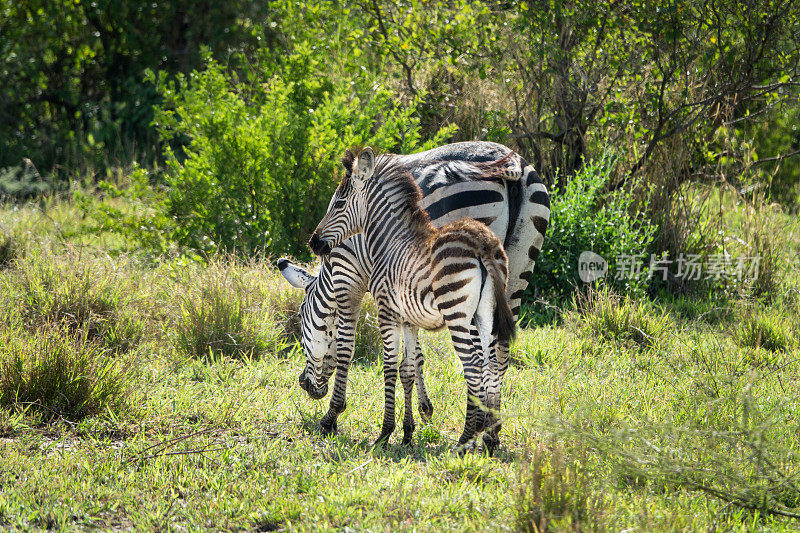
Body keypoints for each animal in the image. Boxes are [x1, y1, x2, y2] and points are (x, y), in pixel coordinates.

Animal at [276, 140, 552, 444]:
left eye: (301, 318)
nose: (305, 385)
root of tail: (511, 164)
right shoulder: (407, 291)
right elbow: (413, 356)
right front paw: (419, 414)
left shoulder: (349, 281)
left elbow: (347, 348)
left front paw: (332, 416)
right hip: (514, 274)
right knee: (499, 353)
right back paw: (491, 433)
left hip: (463, 290)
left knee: (477, 355)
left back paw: (475, 429)